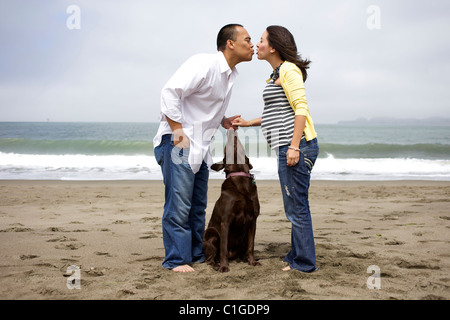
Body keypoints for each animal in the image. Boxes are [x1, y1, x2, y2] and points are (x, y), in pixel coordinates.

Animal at [203, 129, 260, 272]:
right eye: (225, 148)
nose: (230, 130)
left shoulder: (253, 219)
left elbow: (251, 246)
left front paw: (252, 262)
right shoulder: (226, 220)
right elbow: (223, 247)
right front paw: (224, 266)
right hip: (211, 233)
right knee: (210, 259)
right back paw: (216, 264)